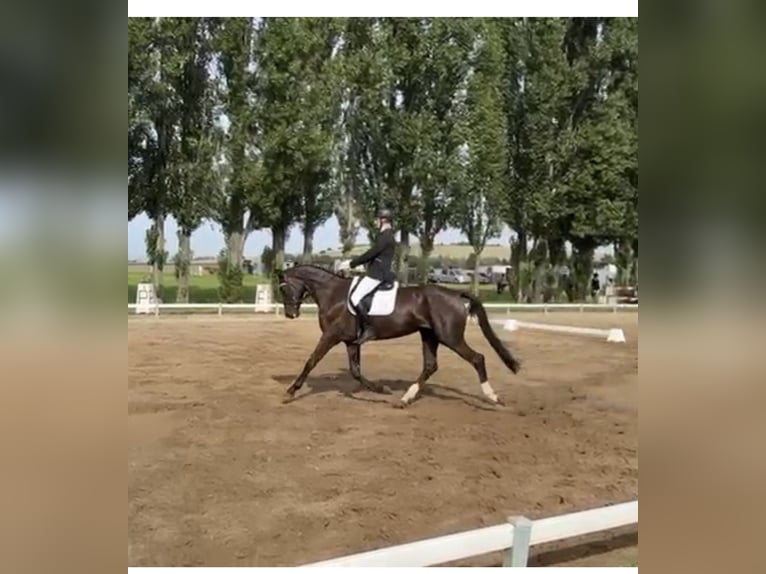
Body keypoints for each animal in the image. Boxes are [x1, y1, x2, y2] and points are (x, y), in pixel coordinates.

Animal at [277, 265, 521, 406]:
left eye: (284, 288)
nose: (290, 313)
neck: (333, 294)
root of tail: (455, 294)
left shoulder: (331, 336)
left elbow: (311, 361)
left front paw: (290, 391)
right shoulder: (350, 341)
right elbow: (355, 371)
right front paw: (380, 389)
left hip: (449, 337)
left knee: (477, 358)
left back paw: (492, 396)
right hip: (429, 336)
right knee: (430, 366)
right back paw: (405, 398)